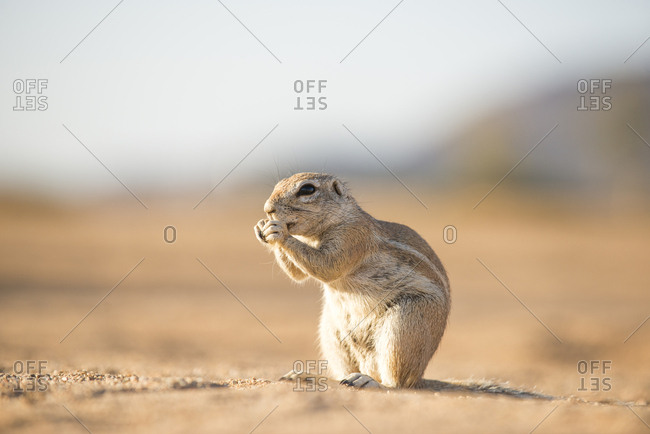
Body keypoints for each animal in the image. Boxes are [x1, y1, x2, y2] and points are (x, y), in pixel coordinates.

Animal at [254, 172, 450, 388]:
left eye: (307, 189)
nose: (267, 208)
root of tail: (420, 377)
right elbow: (298, 274)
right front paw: (261, 227)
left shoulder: (353, 236)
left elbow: (327, 265)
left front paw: (278, 232)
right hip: (331, 335)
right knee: (342, 373)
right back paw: (309, 376)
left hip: (404, 327)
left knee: (397, 383)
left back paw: (369, 381)